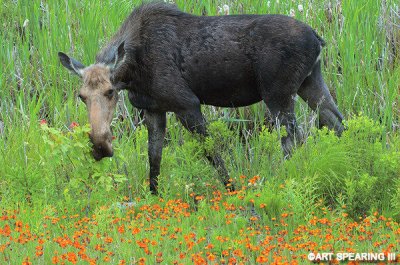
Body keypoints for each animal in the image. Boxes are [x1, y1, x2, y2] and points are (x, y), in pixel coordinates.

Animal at [58, 2, 344, 194]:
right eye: (81, 96)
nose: (100, 145)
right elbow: (154, 159)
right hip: (310, 83)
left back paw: (285, 180)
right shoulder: (154, 109)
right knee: (338, 123)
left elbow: (211, 153)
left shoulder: (187, 104)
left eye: (110, 91)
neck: (131, 73)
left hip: (278, 94)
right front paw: (153, 197)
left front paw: (232, 190)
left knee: (293, 140)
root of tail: (318, 39)